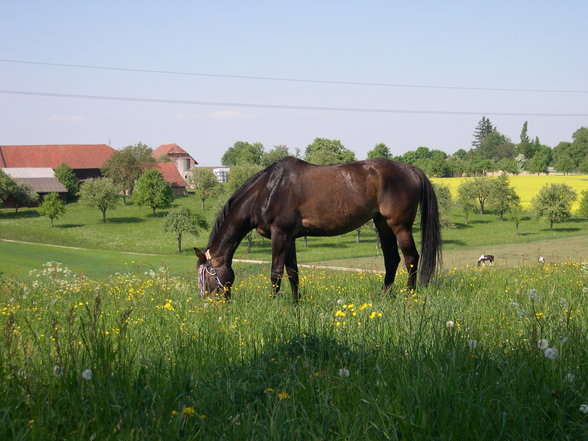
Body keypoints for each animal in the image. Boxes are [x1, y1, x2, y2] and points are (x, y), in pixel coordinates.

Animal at [194, 156, 440, 300]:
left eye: (206, 275)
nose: (208, 303)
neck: (267, 190)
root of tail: (411, 169)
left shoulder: (279, 234)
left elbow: (276, 273)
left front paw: (274, 304)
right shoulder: (289, 237)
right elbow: (293, 272)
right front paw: (296, 304)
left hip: (399, 225)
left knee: (411, 258)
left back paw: (410, 296)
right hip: (382, 224)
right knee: (391, 259)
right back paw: (383, 296)